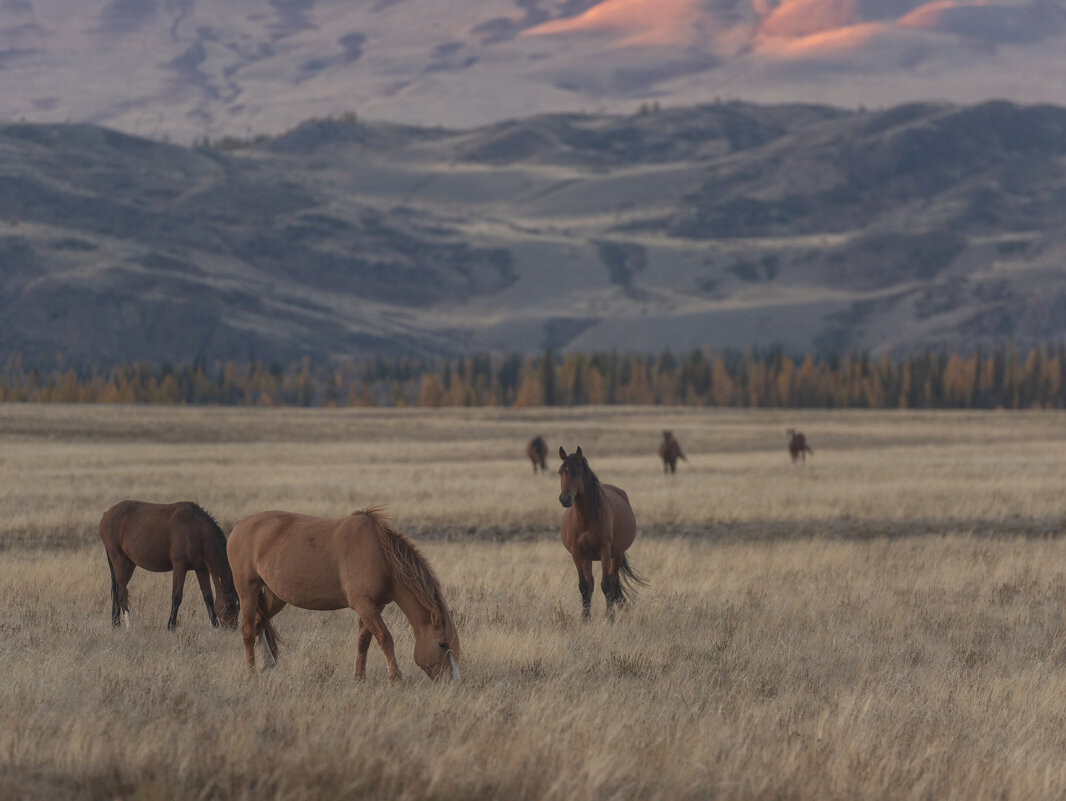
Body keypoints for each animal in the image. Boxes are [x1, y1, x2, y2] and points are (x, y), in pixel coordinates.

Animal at [98, 501, 239, 631]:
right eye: (228, 605)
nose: (231, 629)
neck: (197, 531)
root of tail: (106, 514)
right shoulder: (179, 567)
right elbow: (177, 597)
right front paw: (171, 626)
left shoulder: (201, 569)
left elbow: (208, 597)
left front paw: (214, 626)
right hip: (118, 559)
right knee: (122, 591)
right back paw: (129, 625)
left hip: (129, 564)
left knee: (116, 590)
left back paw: (116, 623)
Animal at [227, 507, 460, 682]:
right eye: (443, 644)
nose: (453, 681)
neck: (380, 556)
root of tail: (239, 526)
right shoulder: (364, 605)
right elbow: (385, 638)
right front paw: (395, 678)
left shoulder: (373, 607)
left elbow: (364, 641)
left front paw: (360, 678)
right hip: (248, 590)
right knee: (248, 631)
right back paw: (252, 673)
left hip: (275, 597)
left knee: (259, 623)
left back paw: (266, 664)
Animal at [558, 447, 639, 622]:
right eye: (560, 471)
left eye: (578, 471)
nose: (564, 499)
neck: (586, 518)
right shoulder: (577, 553)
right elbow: (584, 586)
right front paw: (585, 619)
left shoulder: (605, 551)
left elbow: (606, 585)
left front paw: (610, 619)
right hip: (587, 557)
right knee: (591, 583)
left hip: (617, 555)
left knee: (612, 582)